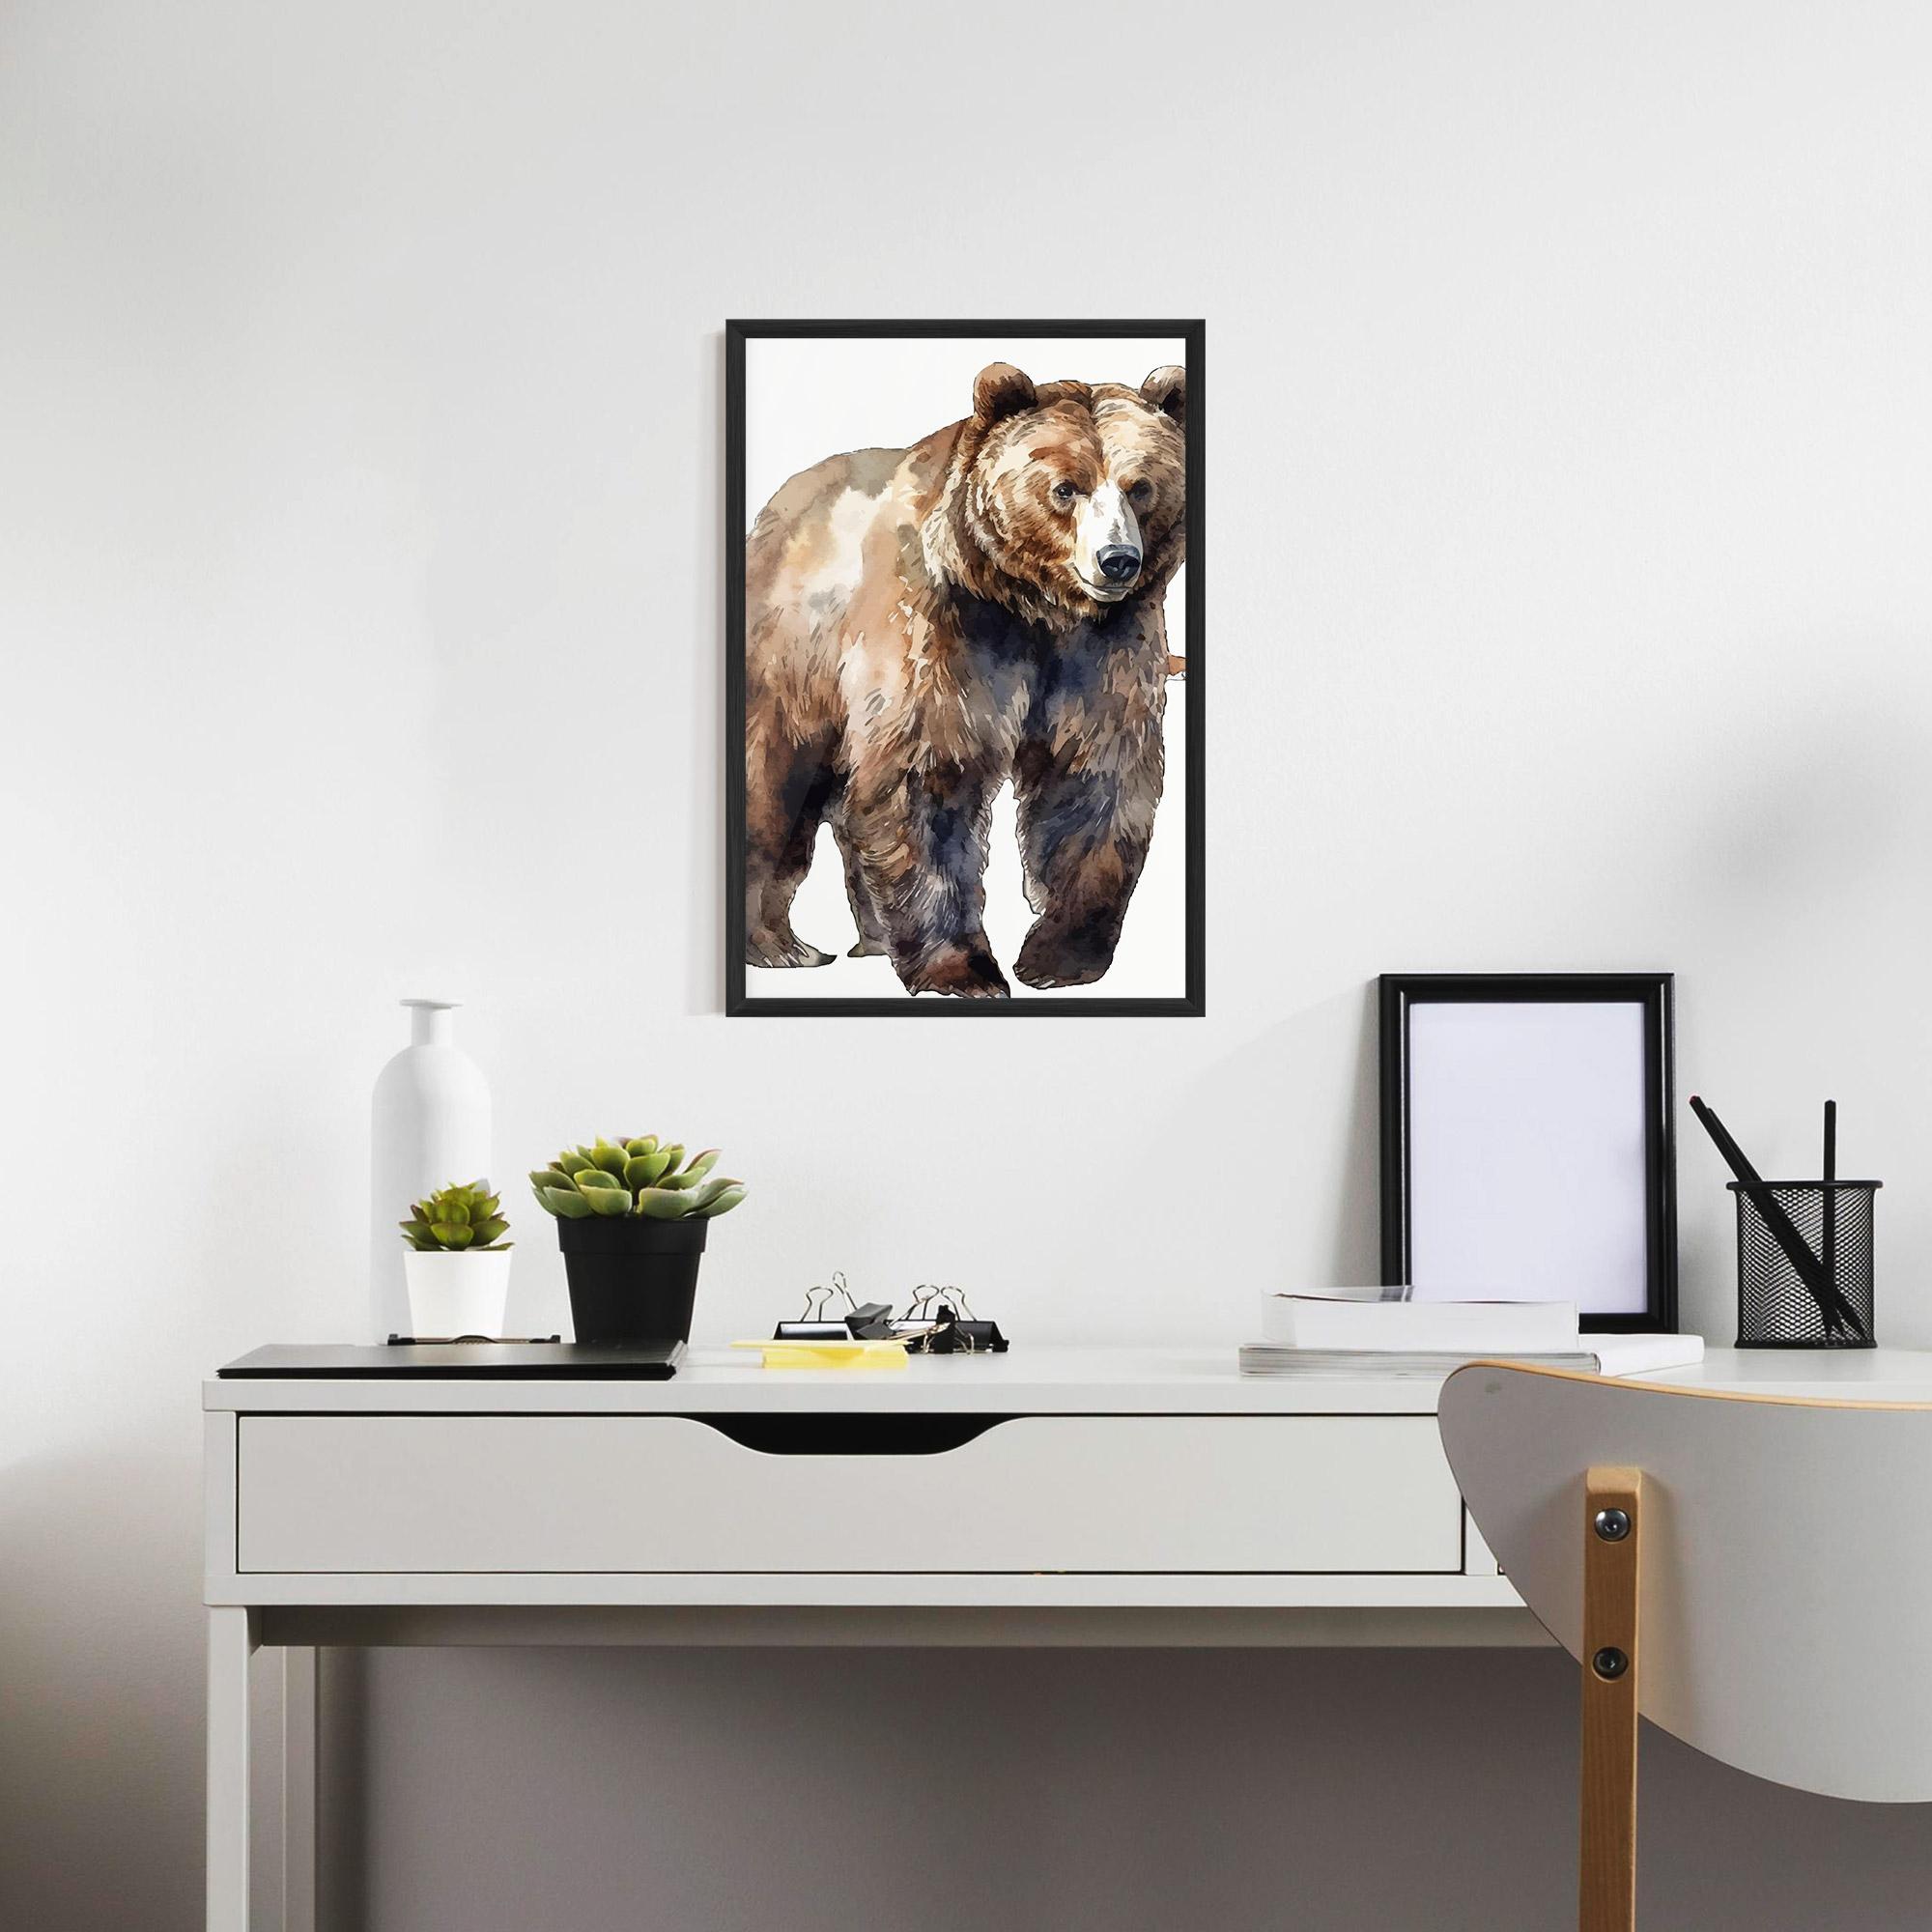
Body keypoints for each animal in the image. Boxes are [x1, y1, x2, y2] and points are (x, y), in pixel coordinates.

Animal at [743, 360, 1186, 998]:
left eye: (1140, 486)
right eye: (1066, 487)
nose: (1118, 560)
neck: (1037, 608)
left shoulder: (1103, 651)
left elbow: (1093, 779)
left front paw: (1059, 957)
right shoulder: (945, 631)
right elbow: (930, 779)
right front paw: (964, 970)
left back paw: (872, 939)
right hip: (793, 661)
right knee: (775, 783)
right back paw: (780, 945)